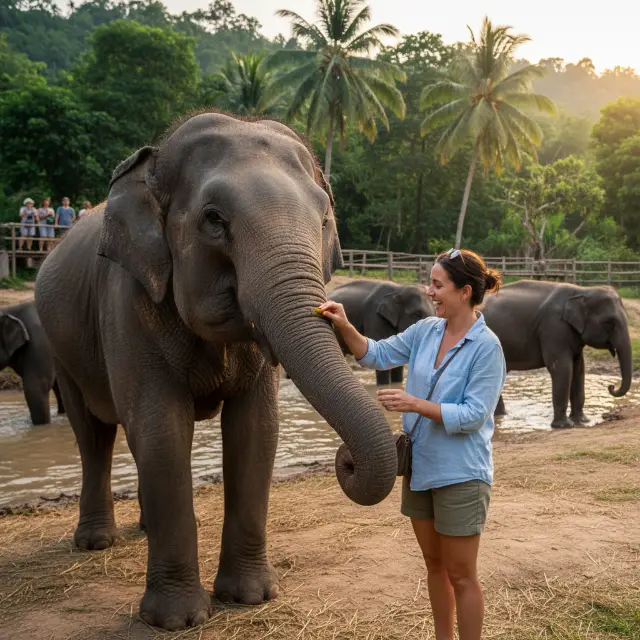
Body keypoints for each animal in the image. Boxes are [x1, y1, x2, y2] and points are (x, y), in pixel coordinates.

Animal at [34, 112, 397, 630]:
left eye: (325, 217)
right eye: (213, 219)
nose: (345, 460)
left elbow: (256, 430)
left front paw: (250, 597)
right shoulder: (126, 301)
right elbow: (162, 428)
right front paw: (177, 620)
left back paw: (142, 528)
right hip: (62, 347)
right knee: (94, 434)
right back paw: (95, 542)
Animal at [482, 280, 632, 428]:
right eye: (610, 323)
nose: (611, 387)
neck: (583, 290)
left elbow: (579, 369)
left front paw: (582, 421)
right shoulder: (553, 328)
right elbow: (562, 368)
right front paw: (564, 425)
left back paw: (500, 415)